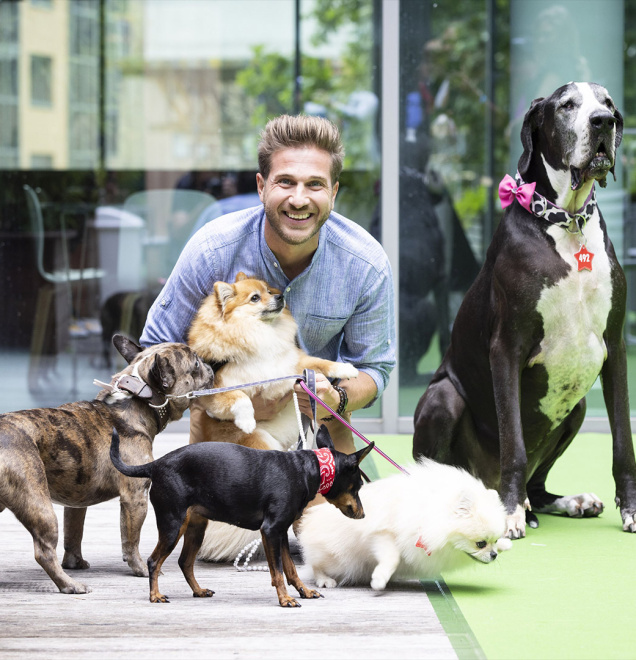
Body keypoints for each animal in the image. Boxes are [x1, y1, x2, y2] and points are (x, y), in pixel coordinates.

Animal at [0, 336, 214, 592]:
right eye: (195, 364)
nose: (210, 365)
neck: (136, 400)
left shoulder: (76, 502)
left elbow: (74, 533)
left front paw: (74, 562)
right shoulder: (135, 498)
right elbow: (131, 541)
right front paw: (141, 569)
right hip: (39, 504)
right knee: (44, 551)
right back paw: (70, 585)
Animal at [296, 458, 512, 588]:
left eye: (494, 540)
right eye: (480, 544)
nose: (493, 555)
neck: (430, 511)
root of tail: (309, 519)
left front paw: (506, 543)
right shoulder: (382, 534)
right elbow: (392, 557)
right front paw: (380, 579)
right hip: (338, 559)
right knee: (315, 565)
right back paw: (325, 579)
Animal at [412, 82, 636, 540]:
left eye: (607, 103)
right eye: (567, 105)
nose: (602, 123)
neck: (567, 221)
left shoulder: (615, 348)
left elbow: (623, 442)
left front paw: (631, 511)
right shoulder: (507, 348)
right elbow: (512, 443)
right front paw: (511, 513)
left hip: (578, 406)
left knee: (539, 485)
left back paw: (565, 502)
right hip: (443, 397)